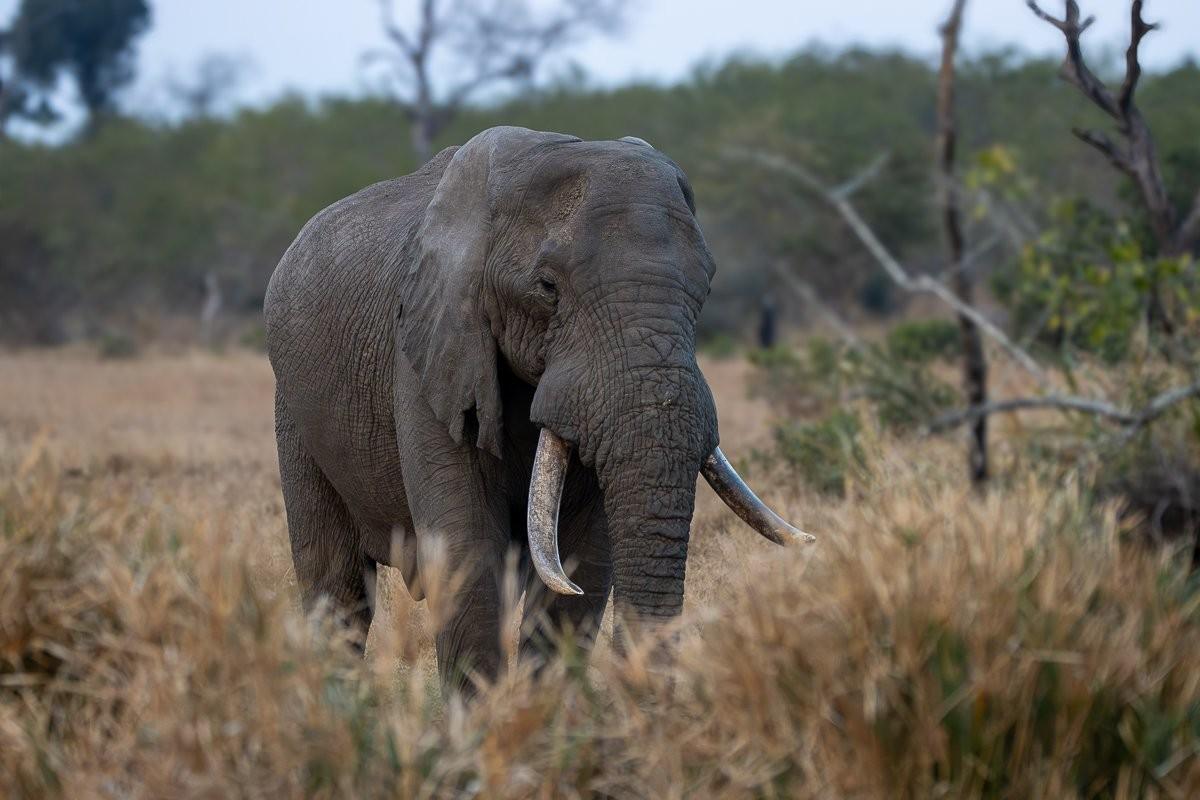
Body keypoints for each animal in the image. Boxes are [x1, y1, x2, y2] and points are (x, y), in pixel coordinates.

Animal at [264, 126, 812, 691]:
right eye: (547, 288)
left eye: (705, 288)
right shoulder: (428, 352)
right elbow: (465, 548)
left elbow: (583, 561)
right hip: (293, 410)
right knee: (336, 587)